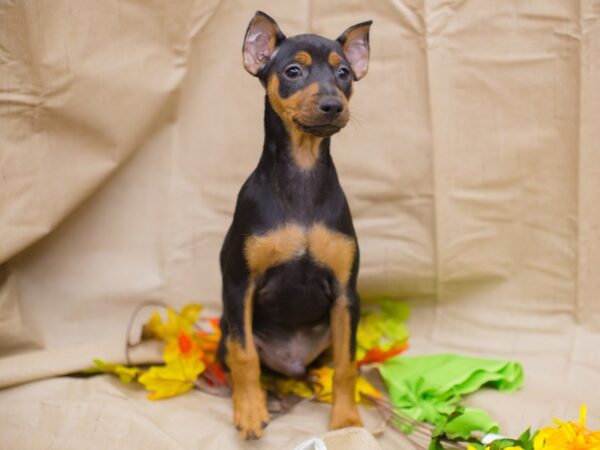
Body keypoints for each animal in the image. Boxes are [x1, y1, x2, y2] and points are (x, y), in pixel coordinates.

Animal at [218, 10, 372, 440]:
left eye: (344, 73)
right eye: (292, 71)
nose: (332, 105)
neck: (303, 172)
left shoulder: (345, 294)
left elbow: (347, 365)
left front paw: (346, 421)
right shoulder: (238, 286)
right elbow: (244, 356)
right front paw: (250, 412)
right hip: (225, 326)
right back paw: (267, 398)